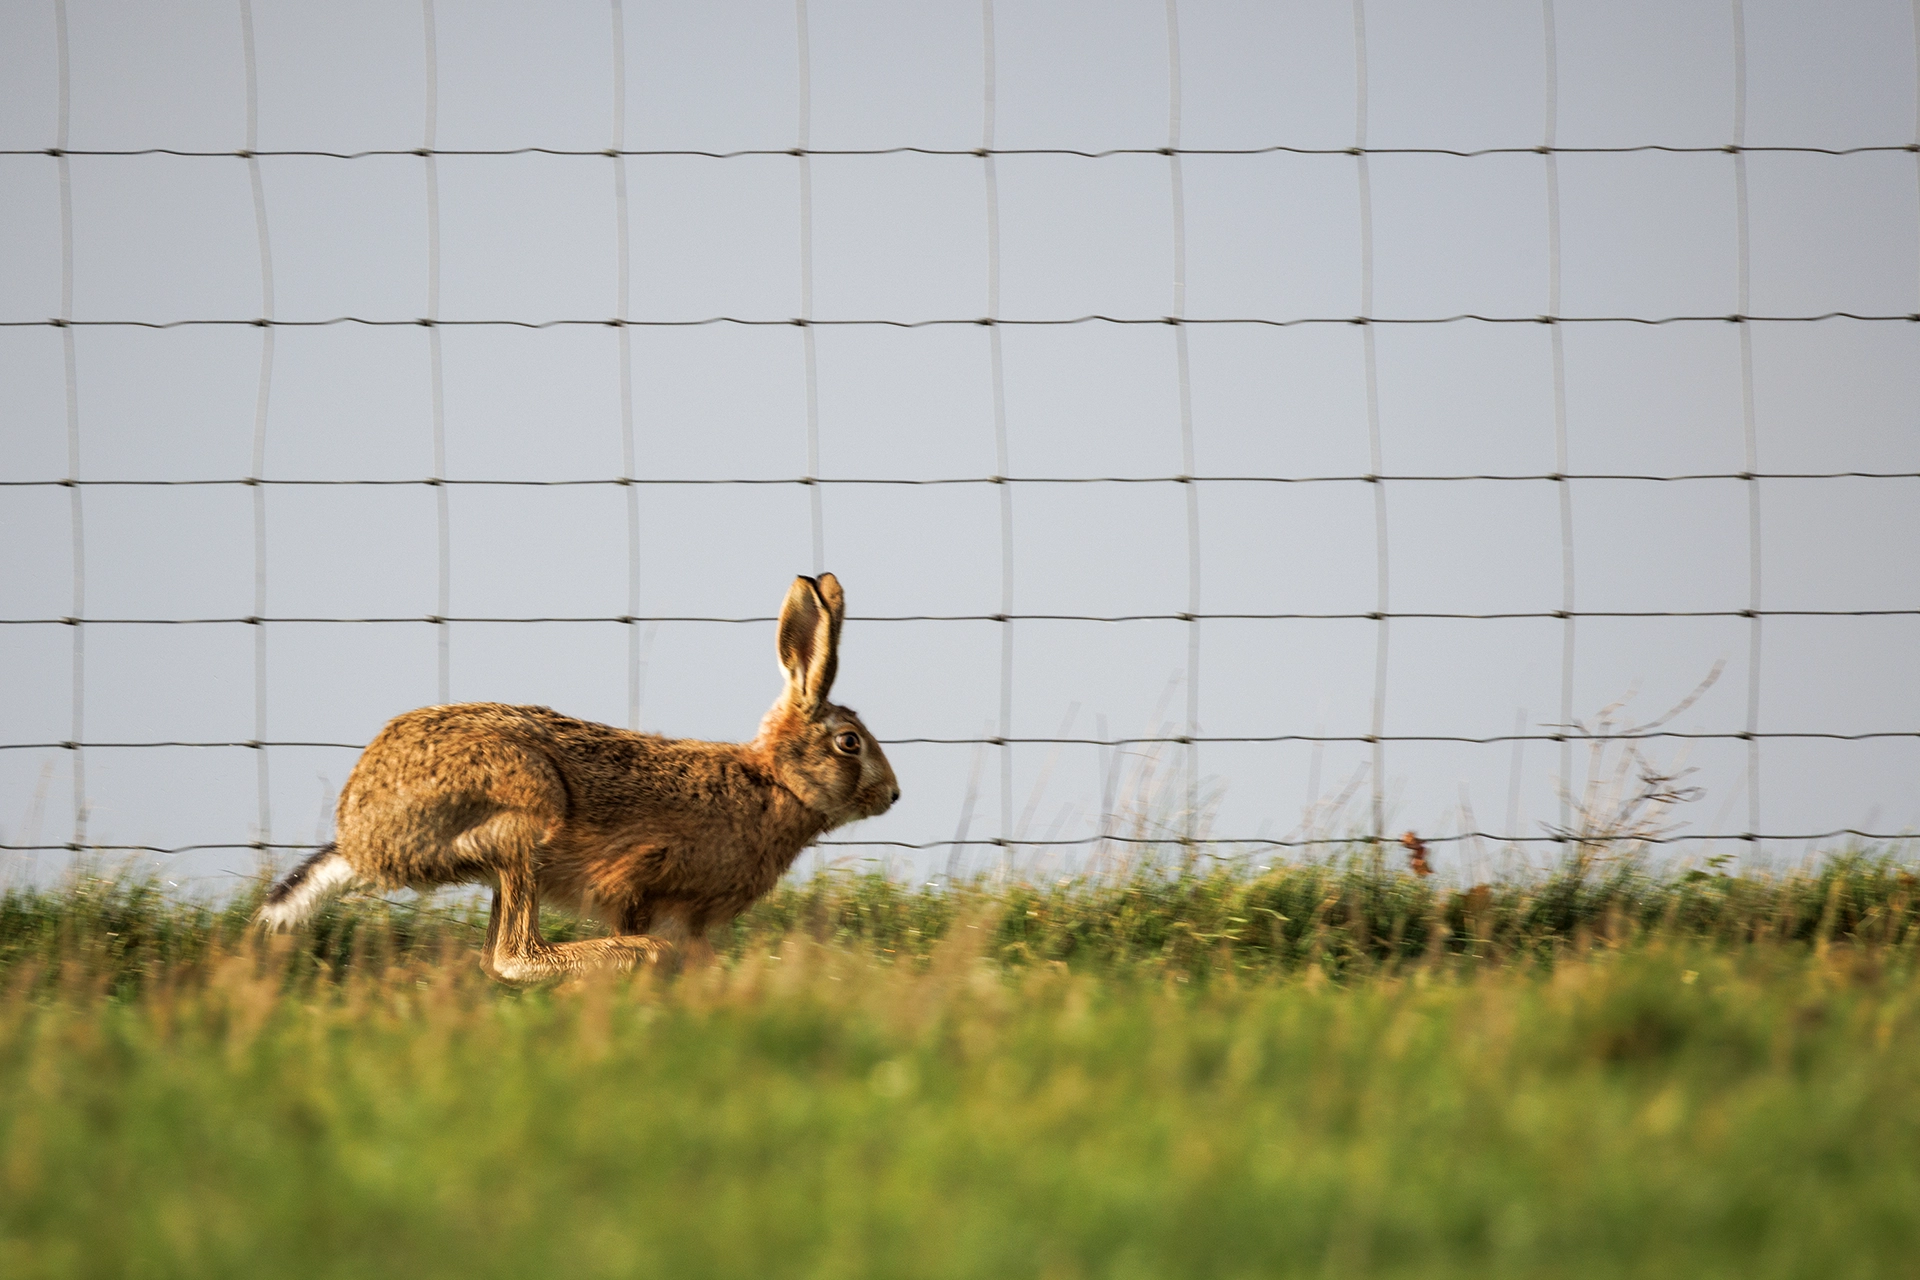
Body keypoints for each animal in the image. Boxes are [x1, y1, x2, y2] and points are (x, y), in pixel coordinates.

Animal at [256, 572, 899, 982]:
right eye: (849, 742)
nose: (893, 795)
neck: (773, 783)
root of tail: (359, 835)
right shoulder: (645, 881)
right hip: (525, 814)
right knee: (511, 957)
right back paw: (633, 954)